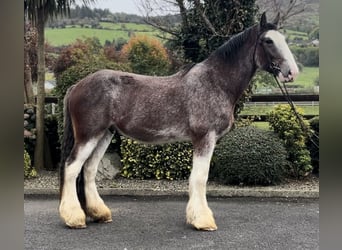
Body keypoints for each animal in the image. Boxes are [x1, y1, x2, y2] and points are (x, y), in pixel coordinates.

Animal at [59, 12, 300, 230]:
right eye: (268, 41)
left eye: (283, 39)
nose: (292, 72)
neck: (215, 82)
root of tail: (77, 86)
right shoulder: (204, 138)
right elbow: (200, 178)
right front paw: (203, 221)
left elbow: (196, 178)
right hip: (89, 136)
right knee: (71, 168)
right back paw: (74, 218)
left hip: (104, 134)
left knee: (89, 170)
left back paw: (99, 213)